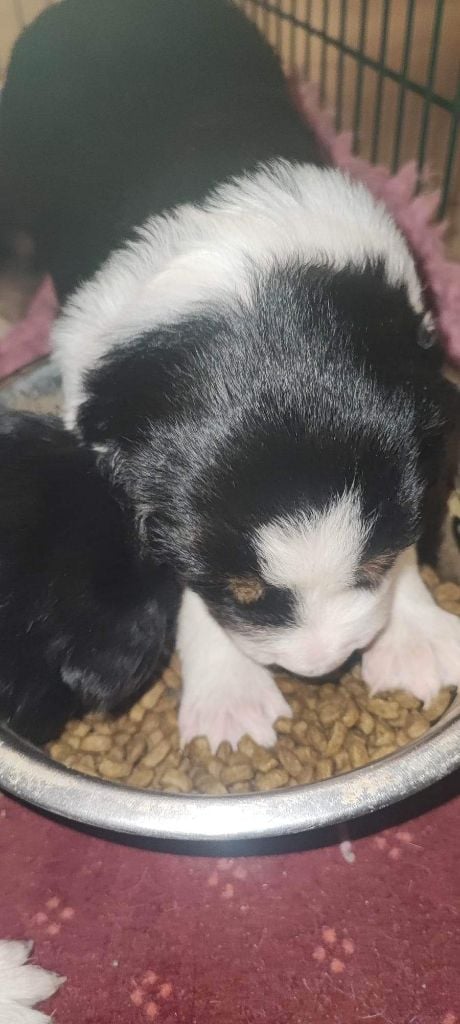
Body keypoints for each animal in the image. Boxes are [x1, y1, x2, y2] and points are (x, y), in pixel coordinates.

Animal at [0, 0, 458, 752]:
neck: (257, 296)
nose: (321, 666)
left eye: (367, 568)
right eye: (240, 591)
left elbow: (409, 524)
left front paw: (417, 639)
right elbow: (177, 574)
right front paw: (231, 705)